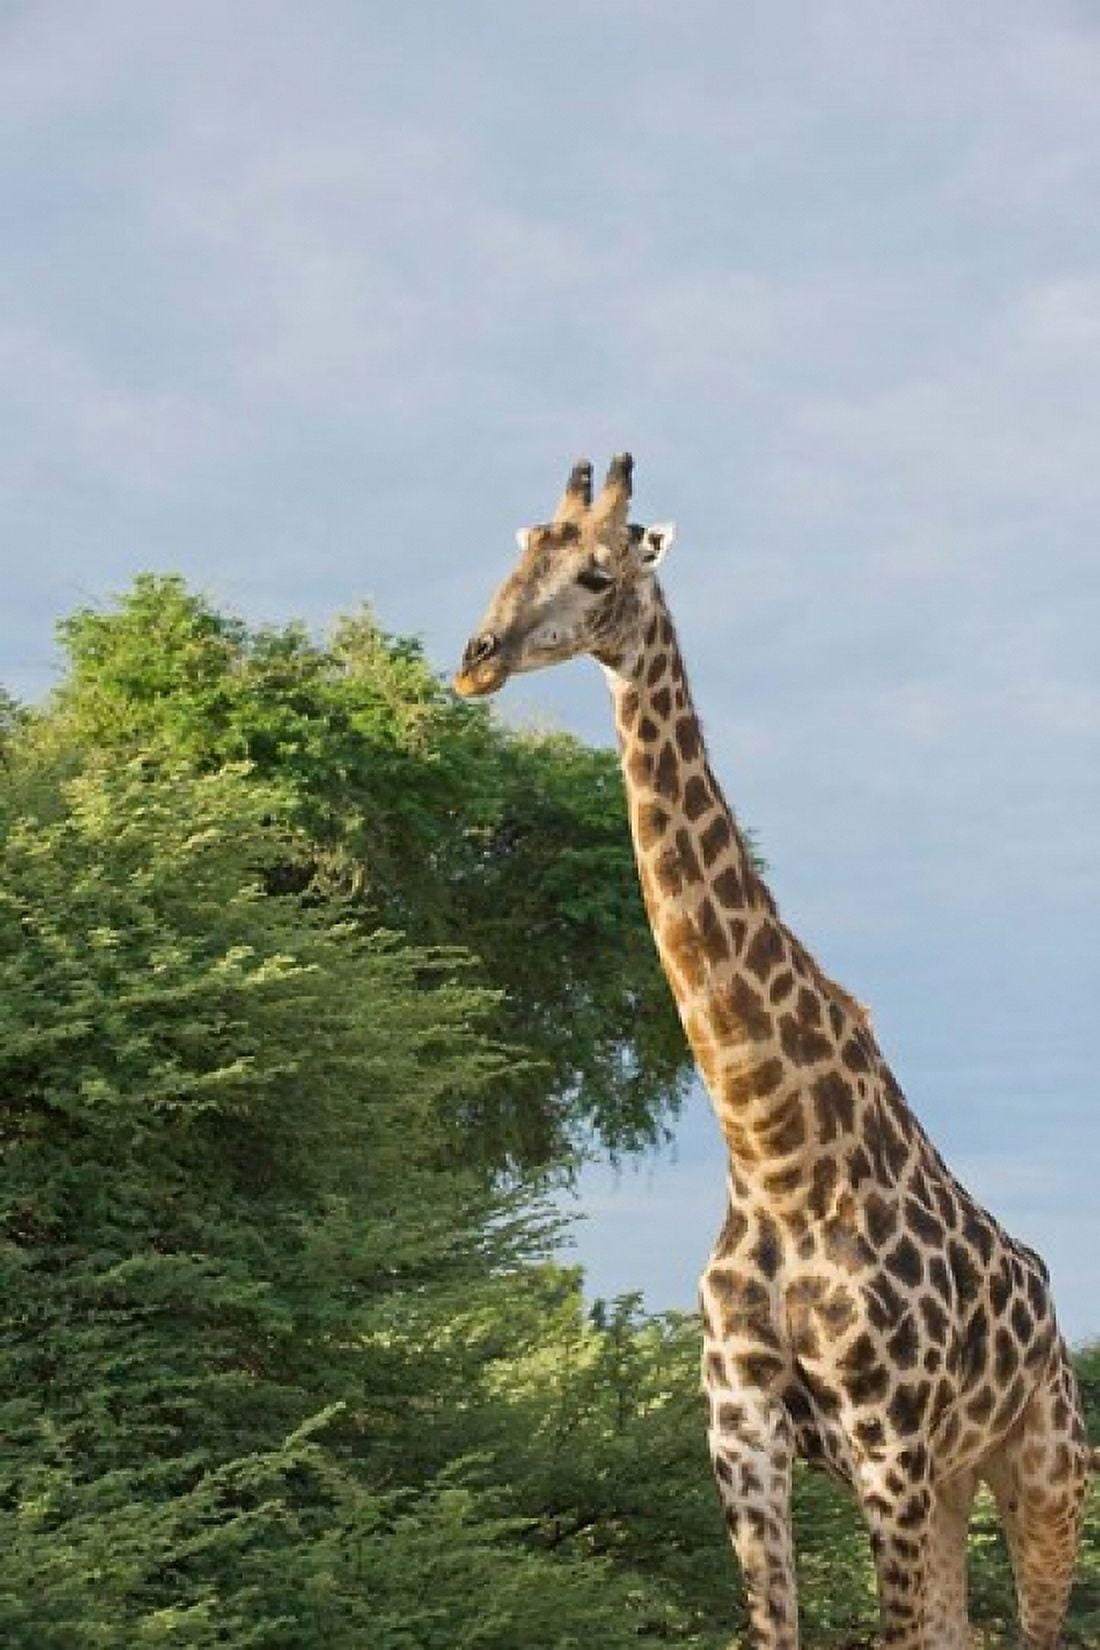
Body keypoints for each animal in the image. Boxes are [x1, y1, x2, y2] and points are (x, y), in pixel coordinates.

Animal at [453, 455, 1093, 1650]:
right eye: (516, 557)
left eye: (598, 573)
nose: (477, 658)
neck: (773, 1151)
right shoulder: (741, 1434)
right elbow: (776, 1629)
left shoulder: (888, 1446)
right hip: (953, 1485)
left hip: (1041, 1473)